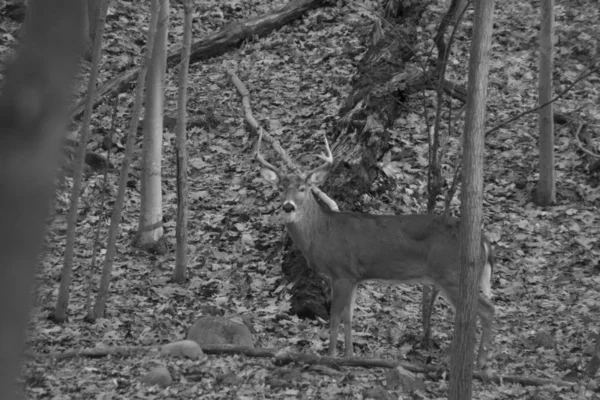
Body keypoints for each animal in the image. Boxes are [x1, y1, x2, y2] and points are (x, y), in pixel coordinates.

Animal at [255, 132, 494, 368]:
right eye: (280, 189)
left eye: (302, 189)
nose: (288, 206)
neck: (322, 232)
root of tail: (483, 240)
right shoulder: (353, 277)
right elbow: (349, 317)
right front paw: (350, 356)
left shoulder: (341, 272)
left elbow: (334, 316)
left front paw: (330, 356)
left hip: (451, 273)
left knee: (486, 310)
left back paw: (479, 363)